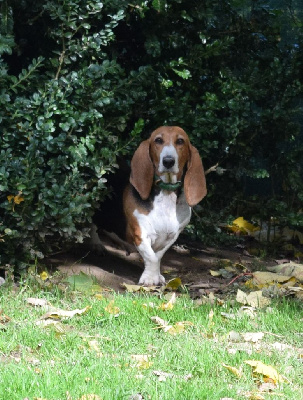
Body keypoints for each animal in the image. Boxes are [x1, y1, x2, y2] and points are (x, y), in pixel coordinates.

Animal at [122, 126, 208, 286]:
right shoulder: (140, 233)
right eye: (158, 140)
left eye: (180, 141)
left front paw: (156, 275)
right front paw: (150, 278)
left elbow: (158, 256)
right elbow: (151, 257)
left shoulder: (172, 236)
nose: (168, 161)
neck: (166, 193)